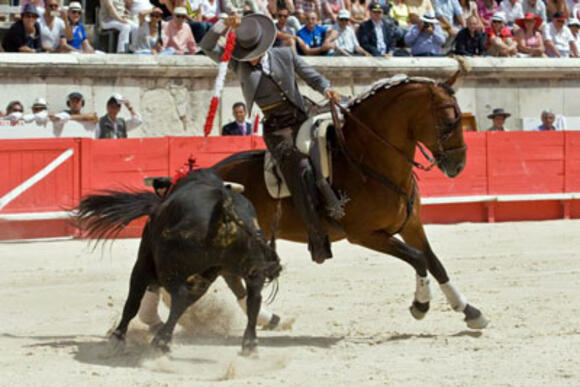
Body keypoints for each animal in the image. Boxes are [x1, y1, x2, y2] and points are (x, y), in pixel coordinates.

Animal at [76, 168, 282, 354]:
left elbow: (133, 302)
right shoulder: (208, 273)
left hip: (168, 268)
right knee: (254, 297)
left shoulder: (143, 263)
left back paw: (160, 342)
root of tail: (223, 210)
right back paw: (250, 343)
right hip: (252, 268)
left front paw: (117, 338)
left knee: (178, 295)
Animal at [215, 75, 488, 330]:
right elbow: (418, 258)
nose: (458, 165)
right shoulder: (365, 235)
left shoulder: (411, 224)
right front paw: (420, 305)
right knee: (230, 274)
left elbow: (434, 262)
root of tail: (214, 172)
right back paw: (264, 317)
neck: (369, 162)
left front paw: (470, 311)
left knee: (230, 273)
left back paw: (268, 318)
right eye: (449, 122)